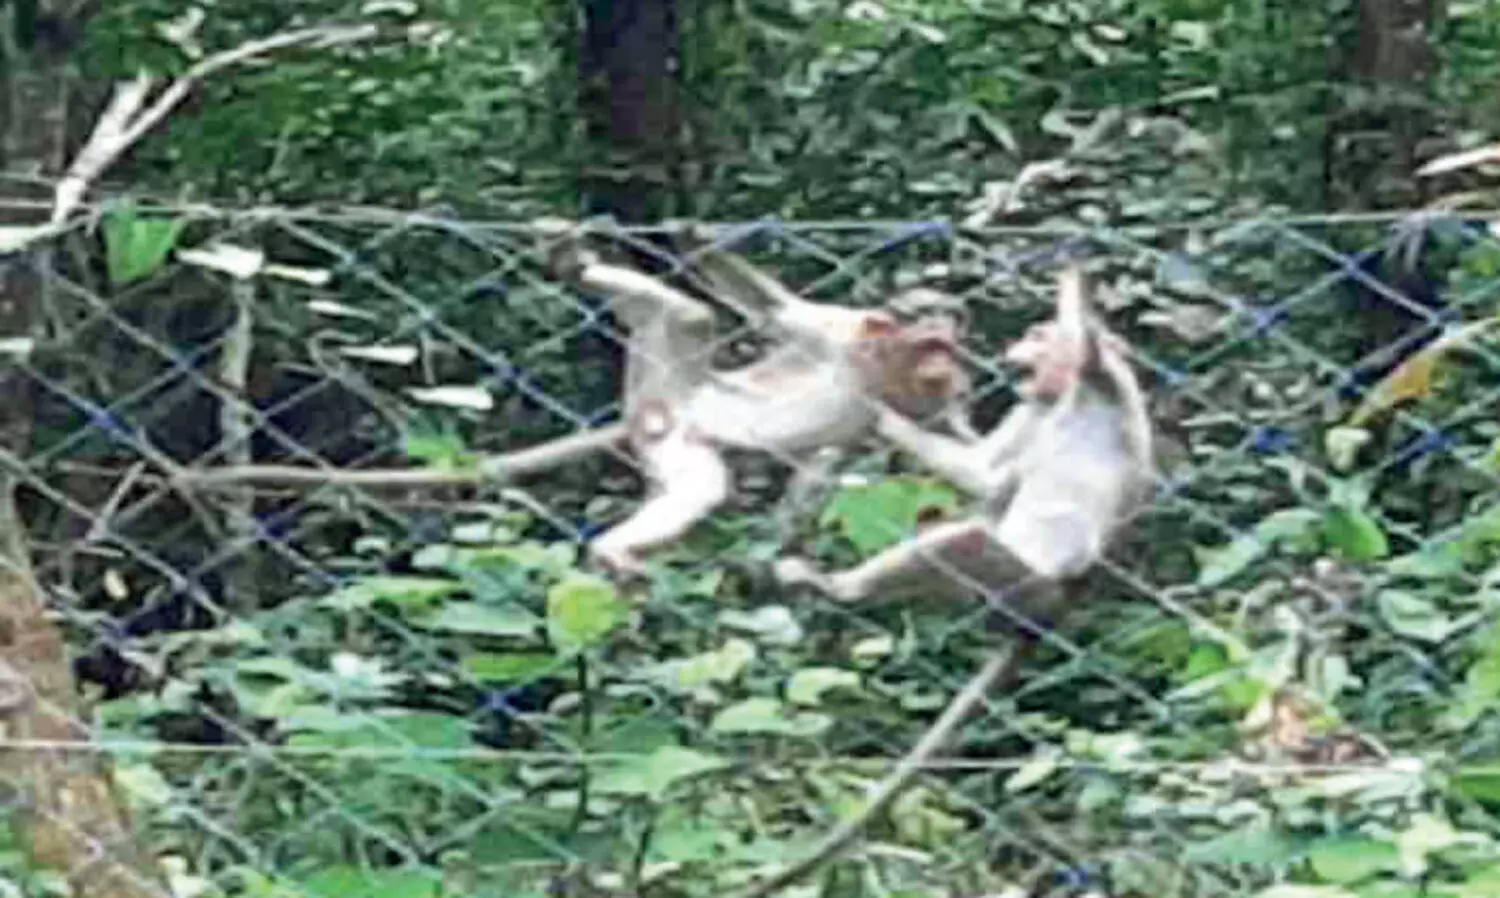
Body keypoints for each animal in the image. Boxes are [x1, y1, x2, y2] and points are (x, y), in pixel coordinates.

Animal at [737, 265, 1154, 898]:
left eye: (1035, 336)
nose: (1020, 348)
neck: (1064, 398)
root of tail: (1056, 608)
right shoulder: (1037, 408)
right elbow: (990, 477)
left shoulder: (1093, 381)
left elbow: (994, 468)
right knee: (969, 524)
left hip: (1025, 589)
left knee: (966, 542)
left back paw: (840, 588)